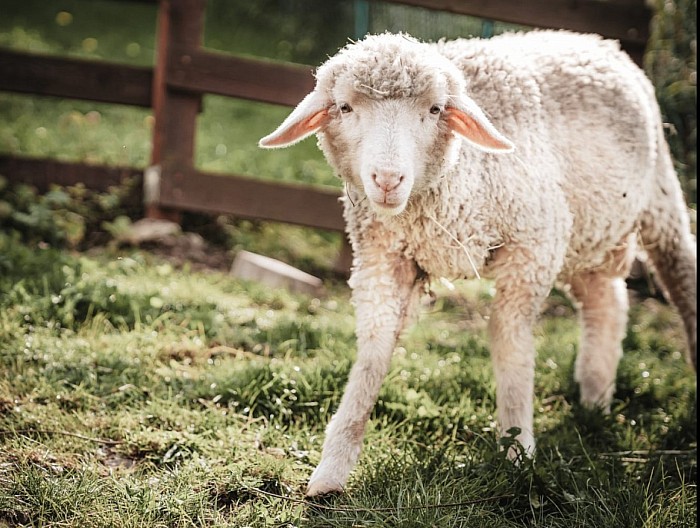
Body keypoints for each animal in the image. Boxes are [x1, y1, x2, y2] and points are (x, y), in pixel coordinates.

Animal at [258, 31, 696, 498]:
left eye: (435, 110)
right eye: (345, 107)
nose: (388, 180)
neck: (453, 190)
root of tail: (601, 44)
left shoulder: (533, 249)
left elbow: (508, 340)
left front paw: (518, 451)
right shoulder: (381, 257)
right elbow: (373, 351)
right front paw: (332, 470)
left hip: (658, 201)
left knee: (681, 277)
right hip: (588, 229)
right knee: (606, 303)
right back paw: (596, 398)